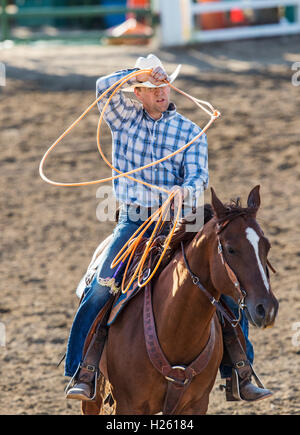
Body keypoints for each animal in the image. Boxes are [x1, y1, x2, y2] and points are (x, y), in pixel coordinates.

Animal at [82, 186, 278, 418]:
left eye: (267, 246)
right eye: (230, 249)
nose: (267, 309)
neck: (176, 330)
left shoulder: (196, 404)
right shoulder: (129, 404)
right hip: (93, 397)